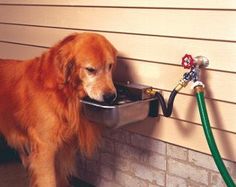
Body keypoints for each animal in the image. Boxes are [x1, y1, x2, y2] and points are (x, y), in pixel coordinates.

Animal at [0, 32, 117, 186]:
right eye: (91, 70)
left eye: (110, 66)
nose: (111, 96)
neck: (62, 90)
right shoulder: (45, 147)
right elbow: (49, 181)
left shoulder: (62, 147)